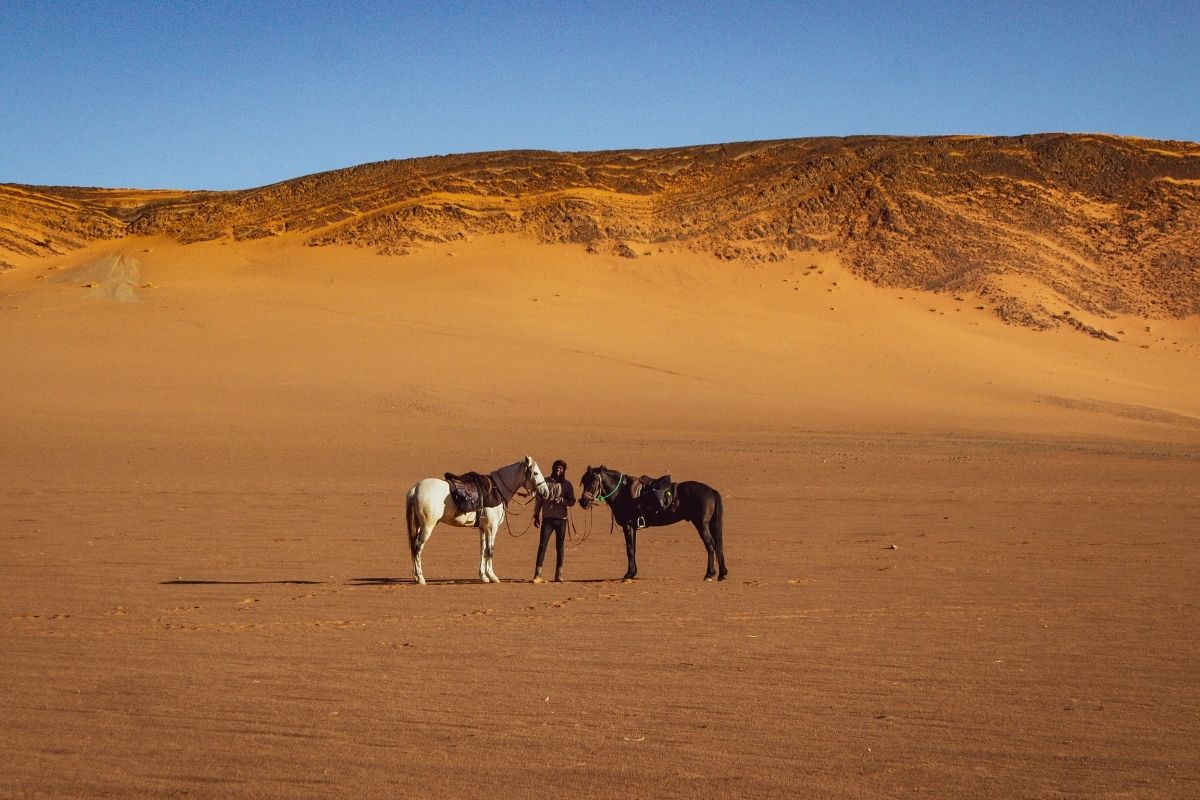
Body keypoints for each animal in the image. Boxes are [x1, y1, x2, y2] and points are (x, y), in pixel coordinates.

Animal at [405, 456, 550, 584]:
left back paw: (415, 576)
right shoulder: (492, 527)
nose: (546, 491)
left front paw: (483, 576)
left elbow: (483, 550)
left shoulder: (483, 527)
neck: (497, 489)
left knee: (414, 547)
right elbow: (490, 550)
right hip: (427, 526)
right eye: (535, 472)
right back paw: (421, 578)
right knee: (418, 546)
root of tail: (416, 488)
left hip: (419, 525)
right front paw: (493, 576)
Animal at [579, 465, 728, 581]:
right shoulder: (633, 527)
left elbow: (630, 549)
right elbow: (633, 549)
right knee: (717, 546)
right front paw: (633, 572)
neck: (622, 492)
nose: (583, 502)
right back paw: (721, 574)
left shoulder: (628, 526)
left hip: (702, 525)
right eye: (584, 481)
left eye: (593, 481)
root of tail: (711, 490)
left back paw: (709, 574)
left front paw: (629, 574)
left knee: (710, 545)